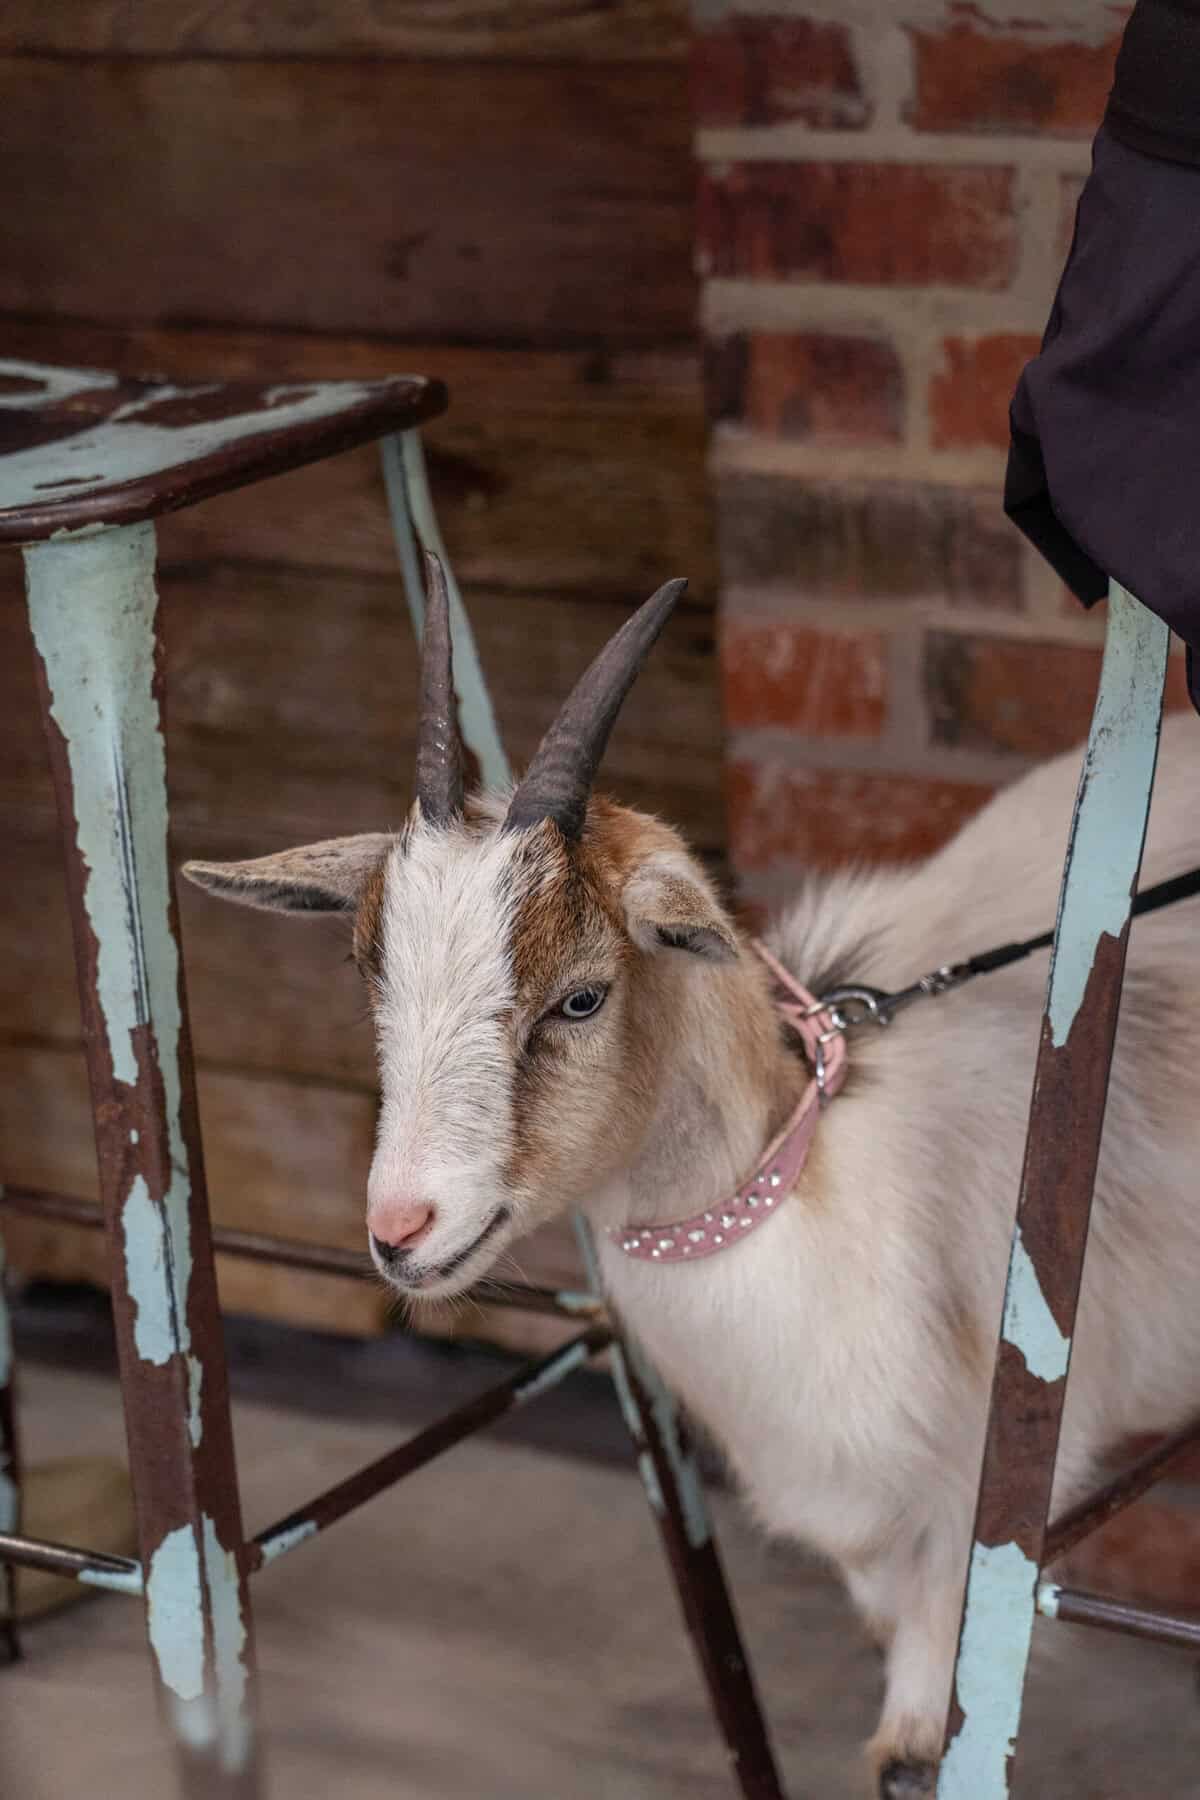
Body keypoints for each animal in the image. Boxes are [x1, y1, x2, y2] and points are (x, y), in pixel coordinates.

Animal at [183, 565, 1200, 1795]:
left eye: (581, 997)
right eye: (365, 970)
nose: (401, 1228)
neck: (822, 1193)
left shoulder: (987, 1502)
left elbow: (919, 1748)